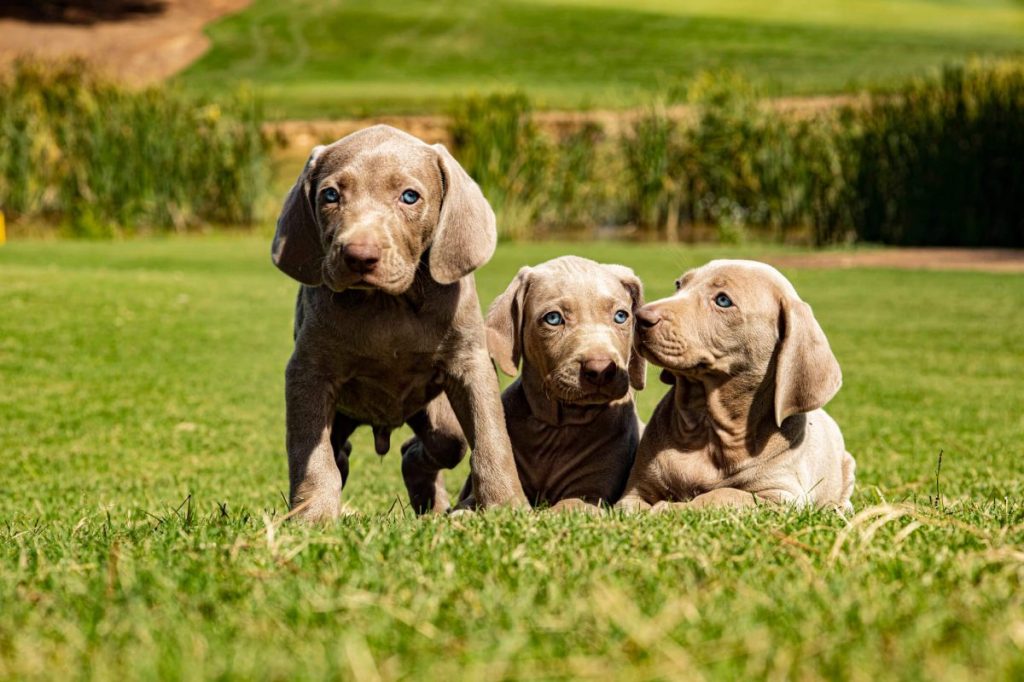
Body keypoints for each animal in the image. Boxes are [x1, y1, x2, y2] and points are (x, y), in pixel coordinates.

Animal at [272, 123, 528, 520]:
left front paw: (505, 504)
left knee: (435, 445)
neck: (386, 304)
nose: (359, 255)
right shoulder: (307, 372)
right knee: (338, 448)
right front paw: (313, 514)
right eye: (330, 195)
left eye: (409, 197)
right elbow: (310, 452)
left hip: (440, 417)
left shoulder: (470, 363)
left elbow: (491, 438)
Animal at [452, 256, 643, 509]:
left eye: (621, 316)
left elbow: (565, 507)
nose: (601, 369)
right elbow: (465, 506)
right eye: (553, 319)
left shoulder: (591, 494)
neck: (557, 427)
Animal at [614, 260, 856, 509]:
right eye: (679, 284)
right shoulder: (634, 493)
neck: (707, 426)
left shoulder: (781, 497)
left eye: (723, 300)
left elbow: (723, 494)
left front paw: (669, 507)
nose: (639, 317)